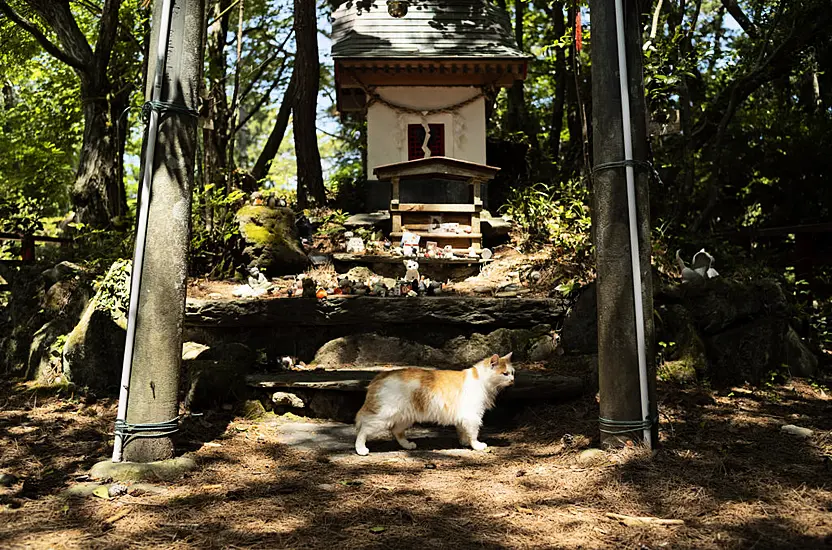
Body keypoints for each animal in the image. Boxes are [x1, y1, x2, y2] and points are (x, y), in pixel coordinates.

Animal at [352, 354, 512, 458]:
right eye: (505, 374)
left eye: (512, 373)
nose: (512, 380)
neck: (481, 380)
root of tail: (381, 375)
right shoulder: (472, 417)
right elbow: (473, 434)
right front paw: (476, 446)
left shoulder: (464, 417)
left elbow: (463, 431)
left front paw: (464, 442)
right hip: (384, 416)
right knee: (363, 429)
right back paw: (361, 449)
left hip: (405, 417)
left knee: (396, 431)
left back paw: (407, 445)